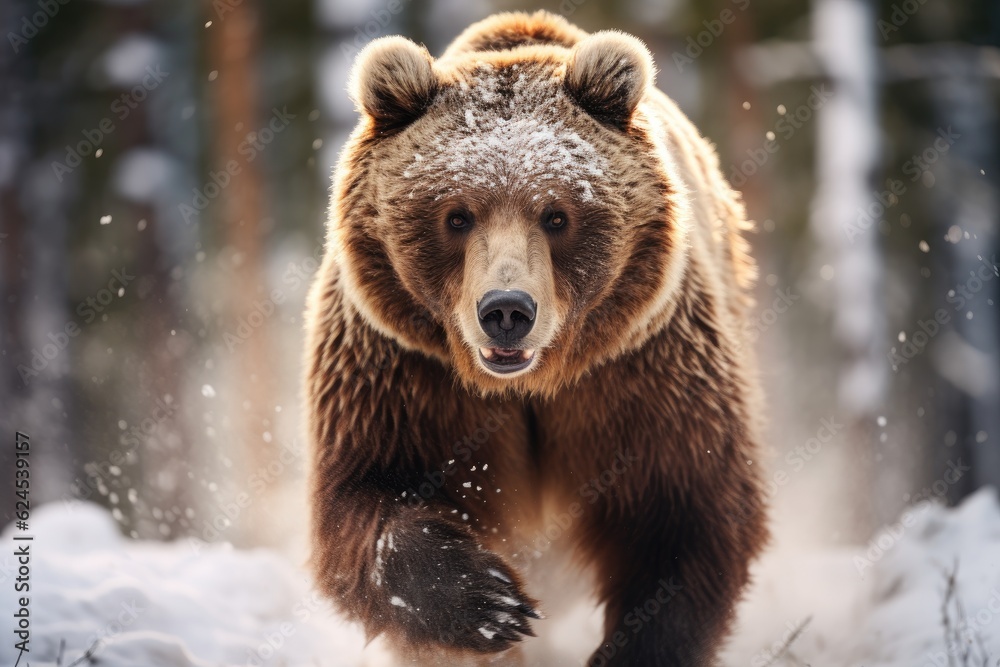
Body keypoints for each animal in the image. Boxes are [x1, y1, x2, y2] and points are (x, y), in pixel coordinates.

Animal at [304, 10, 767, 666]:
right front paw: (491, 605)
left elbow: (683, 514)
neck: (528, 384)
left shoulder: (642, 373)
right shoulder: (401, 372)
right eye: (456, 215)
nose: (506, 310)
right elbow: (369, 496)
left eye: (557, 215)